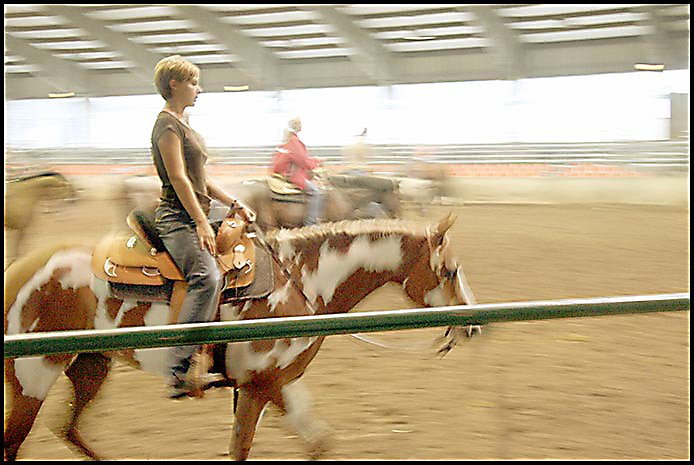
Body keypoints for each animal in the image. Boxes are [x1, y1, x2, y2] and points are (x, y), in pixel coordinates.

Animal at [5, 214, 482, 460]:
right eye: (450, 270)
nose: (474, 324)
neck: (302, 281)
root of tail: (21, 271)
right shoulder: (255, 389)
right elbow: (239, 450)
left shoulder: (277, 385)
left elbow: (318, 442)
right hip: (31, 378)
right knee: (15, 441)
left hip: (90, 367)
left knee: (68, 427)